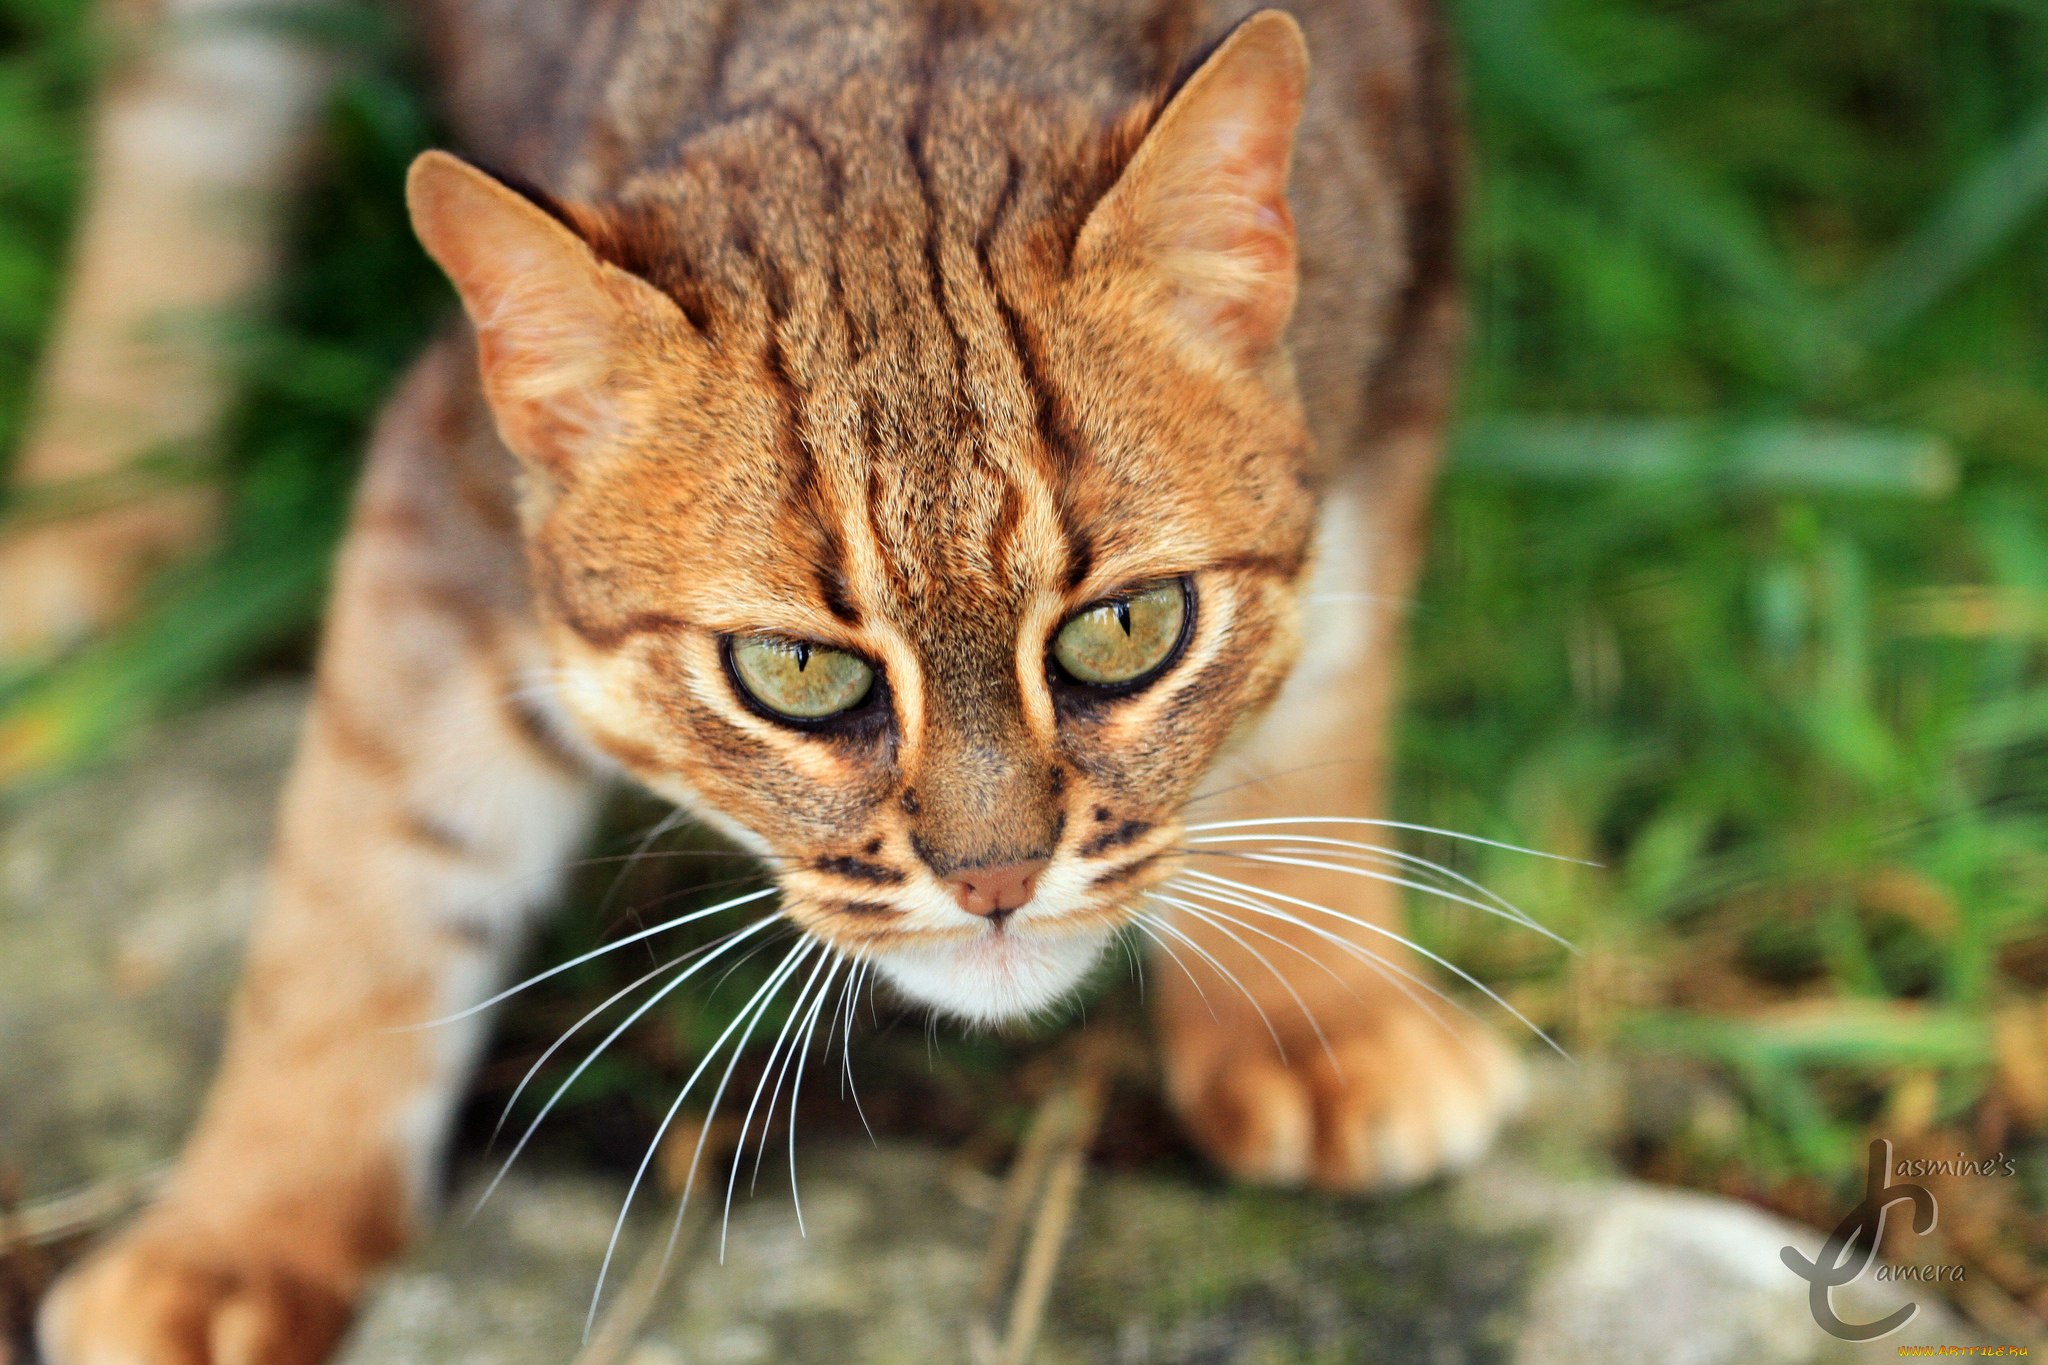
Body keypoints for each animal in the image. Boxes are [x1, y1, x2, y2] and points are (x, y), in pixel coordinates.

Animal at [44, 5, 1523, 1358]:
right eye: (796, 669)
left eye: (1126, 627)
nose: (996, 880)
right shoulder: (452, 474)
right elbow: (364, 869)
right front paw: (237, 1237)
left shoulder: (1403, 305)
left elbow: (1327, 681)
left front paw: (1319, 1009)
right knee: (175, 107)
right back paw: (86, 522)